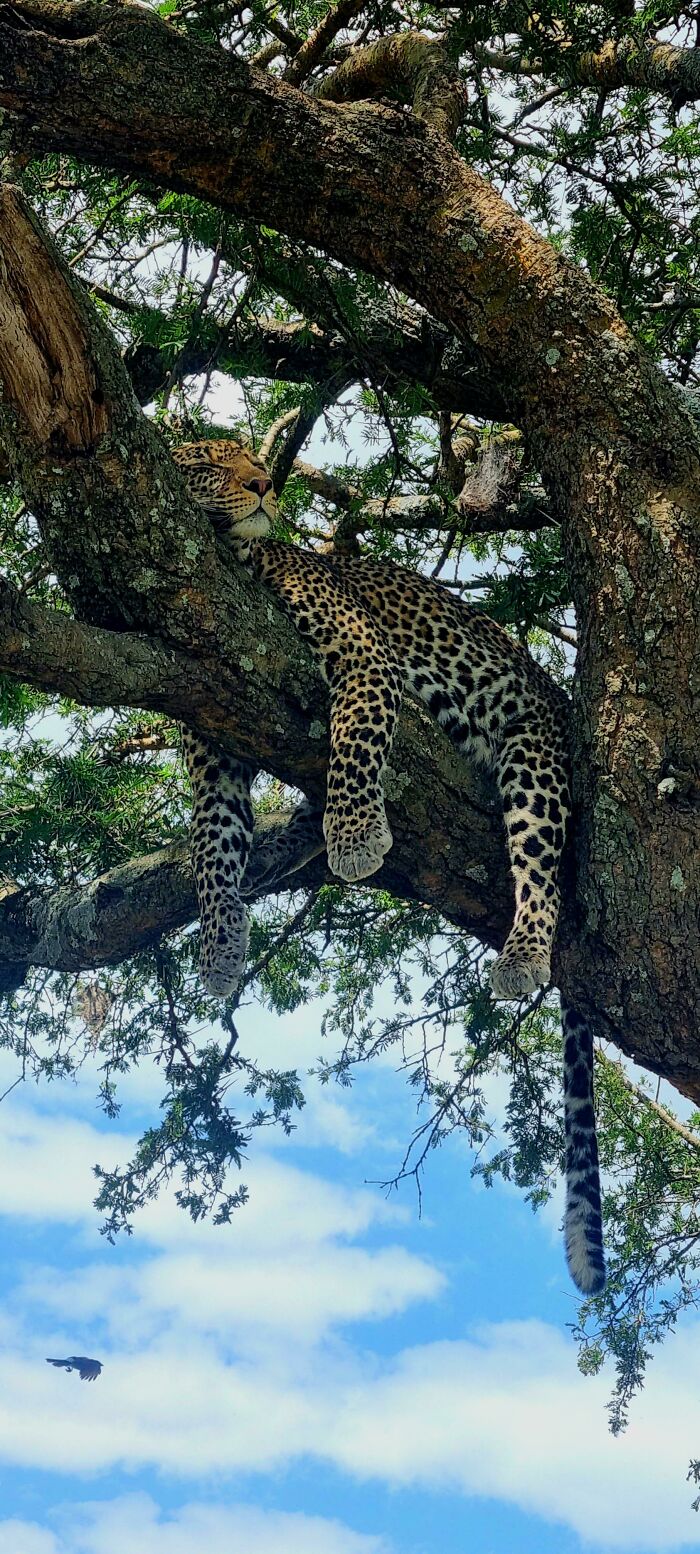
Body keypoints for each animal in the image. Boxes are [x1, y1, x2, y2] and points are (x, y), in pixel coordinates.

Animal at [172, 437, 604, 1297]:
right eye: (208, 462)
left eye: (248, 456)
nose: (263, 483)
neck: (239, 562)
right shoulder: (214, 738)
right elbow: (210, 847)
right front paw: (221, 948)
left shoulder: (364, 659)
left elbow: (355, 745)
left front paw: (356, 836)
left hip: (533, 758)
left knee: (541, 866)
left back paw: (523, 954)